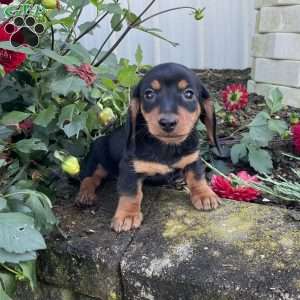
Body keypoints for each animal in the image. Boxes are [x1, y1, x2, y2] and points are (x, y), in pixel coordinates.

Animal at [76, 62, 221, 232]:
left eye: (189, 94)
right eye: (149, 94)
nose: (167, 122)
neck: (167, 146)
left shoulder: (192, 158)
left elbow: (197, 177)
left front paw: (205, 195)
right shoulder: (129, 167)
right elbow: (131, 193)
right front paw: (127, 215)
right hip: (97, 156)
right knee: (89, 178)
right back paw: (85, 194)